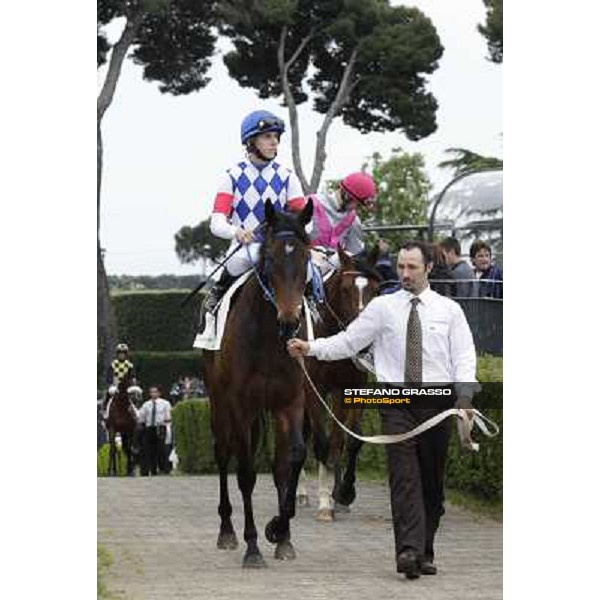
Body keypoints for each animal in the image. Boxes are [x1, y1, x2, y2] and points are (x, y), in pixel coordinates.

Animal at [203, 199, 314, 568]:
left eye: (306, 260)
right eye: (270, 260)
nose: (290, 322)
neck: (268, 339)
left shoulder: (291, 402)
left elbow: (291, 460)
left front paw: (280, 532)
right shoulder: (240, 404)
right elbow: (247, 473)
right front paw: (253, 546)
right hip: (219, 403)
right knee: (224, 454)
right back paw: (227, 531)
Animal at [302, 246, 382, 516]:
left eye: (376, 290)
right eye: (346, 289)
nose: (365, 340)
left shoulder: (350, 386)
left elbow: (349, 439)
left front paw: (343, 492)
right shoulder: (313, 389)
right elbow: (321, 442)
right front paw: (325, 502)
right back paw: (301, 492)